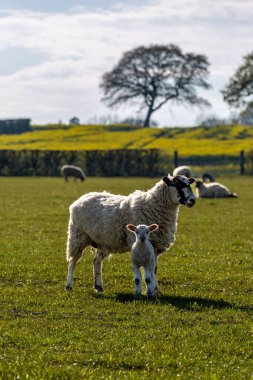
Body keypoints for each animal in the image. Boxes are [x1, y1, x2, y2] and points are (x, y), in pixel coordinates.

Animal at [65, 173, 196, 294]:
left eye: (188, 184)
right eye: (176, 184)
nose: (193, 200)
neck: (153, 206)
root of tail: (82, 197)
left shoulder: (155, 247)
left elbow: (154, 269)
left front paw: (156, 290)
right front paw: (147, 290)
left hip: (103, 242)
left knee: (96, 261)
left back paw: (99, 286)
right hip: (77, 236)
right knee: (73, 261)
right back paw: (69, 285)